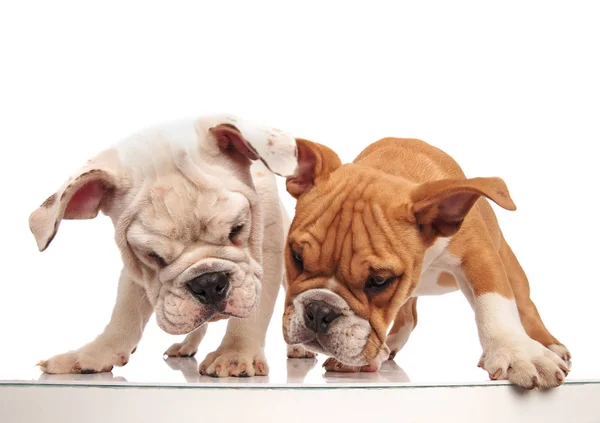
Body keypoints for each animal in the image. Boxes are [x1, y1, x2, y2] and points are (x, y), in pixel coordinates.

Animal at [29, 115, 298, 378]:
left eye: (237, 229)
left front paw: (235, 354)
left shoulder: (266, 254)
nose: (209, 282)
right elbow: (124, 312)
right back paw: (187, 346)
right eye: (152, 255)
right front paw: (89, 356)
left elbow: (254, 312)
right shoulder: (136, 272)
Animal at [284, 137, 568, 390]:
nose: (320, 310)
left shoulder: (478, 254)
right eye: (297, 257)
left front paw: (518, 353)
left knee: (525, 305)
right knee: (408, 317)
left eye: (378, 281)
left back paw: (552, 345)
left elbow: (493, 301)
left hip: (510, 266)